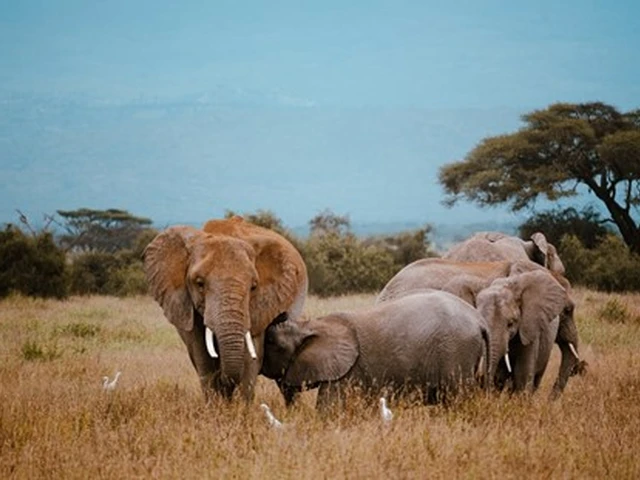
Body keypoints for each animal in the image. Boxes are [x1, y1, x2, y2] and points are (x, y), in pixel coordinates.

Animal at [143, 216, 308, 402]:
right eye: (199, 283)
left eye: (253, 287)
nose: (224, 379)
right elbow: (203, 358)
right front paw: (216, 406)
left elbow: (251, 358)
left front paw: (241, 408)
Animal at [261, 291, 490, 412]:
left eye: (271, 342)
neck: (309, 325)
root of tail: (479, 320)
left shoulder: (346, 373)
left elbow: (329, 410)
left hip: (456, 351)